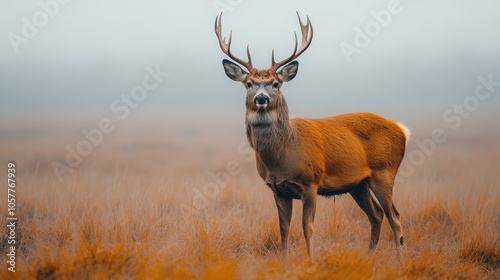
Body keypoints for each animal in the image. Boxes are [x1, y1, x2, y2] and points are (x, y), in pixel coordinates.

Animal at [215, 12, 410, 258]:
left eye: (275, 84)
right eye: (249, 83)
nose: (261, 98)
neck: (281, 154)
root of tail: (401, 129)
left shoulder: (311, 183)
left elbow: (307, 227)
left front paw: (310, 260)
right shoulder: (277, 189)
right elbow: (283, 228)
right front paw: (285, 261)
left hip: (384, 172)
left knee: (395, 216)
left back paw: (399, 259)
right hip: (359, 184)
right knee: (376, 215)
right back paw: (369, 256)